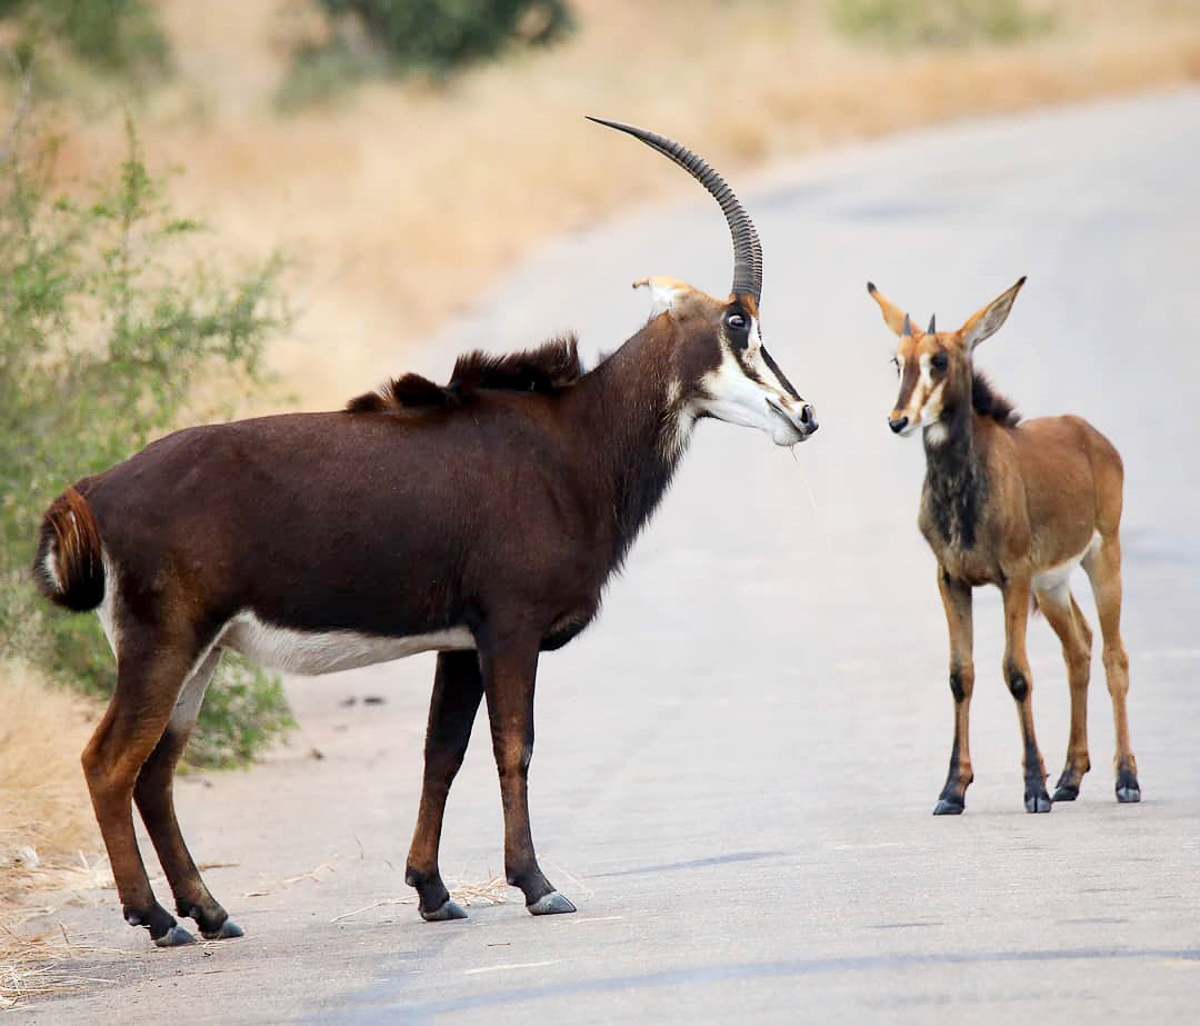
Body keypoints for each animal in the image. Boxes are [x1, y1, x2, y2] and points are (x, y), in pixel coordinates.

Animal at [31, 119, 817, 948]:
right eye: (737, 323)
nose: (804, 415)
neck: (575, 438)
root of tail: (94, 491)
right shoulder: (509, 628)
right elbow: (514, 747)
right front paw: (536, 885)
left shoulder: (461, 643)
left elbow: (443, 753)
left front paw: (433, 891)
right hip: (164, 646)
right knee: (109, 763)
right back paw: (157, 919)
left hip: (200, 652)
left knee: (155, 771)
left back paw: (209, 912)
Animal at [868, 277, 1139, 815]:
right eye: (897, 361)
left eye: (939, 360)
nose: (898, 419)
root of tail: (1093, 437)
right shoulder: (951, 579)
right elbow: (961, 675)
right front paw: (951, 791)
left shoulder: (1012, 576)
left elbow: (1016, 672)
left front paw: (1033, 788)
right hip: (1051, 585)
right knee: (1079, 648)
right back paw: (1070, 778)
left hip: (1103, 557)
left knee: (1113, 656)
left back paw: (1125, 780)